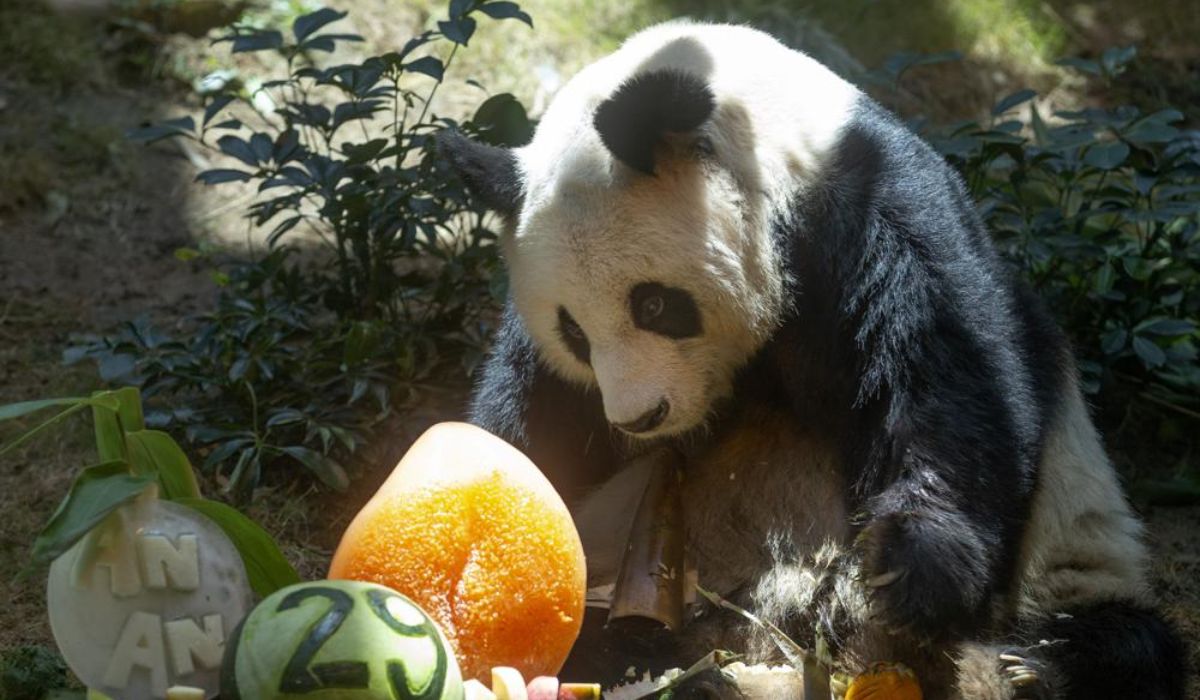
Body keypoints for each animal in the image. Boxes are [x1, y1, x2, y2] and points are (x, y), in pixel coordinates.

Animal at [436, 19, 1185, 696]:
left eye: (653, 305)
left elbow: (948, 381)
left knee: (1123, 637)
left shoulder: (875, 214)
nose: (639, 417)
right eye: (574, 333)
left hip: (1070, 551)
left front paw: (909, 569)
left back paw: (1029, 668)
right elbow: (531, 418)